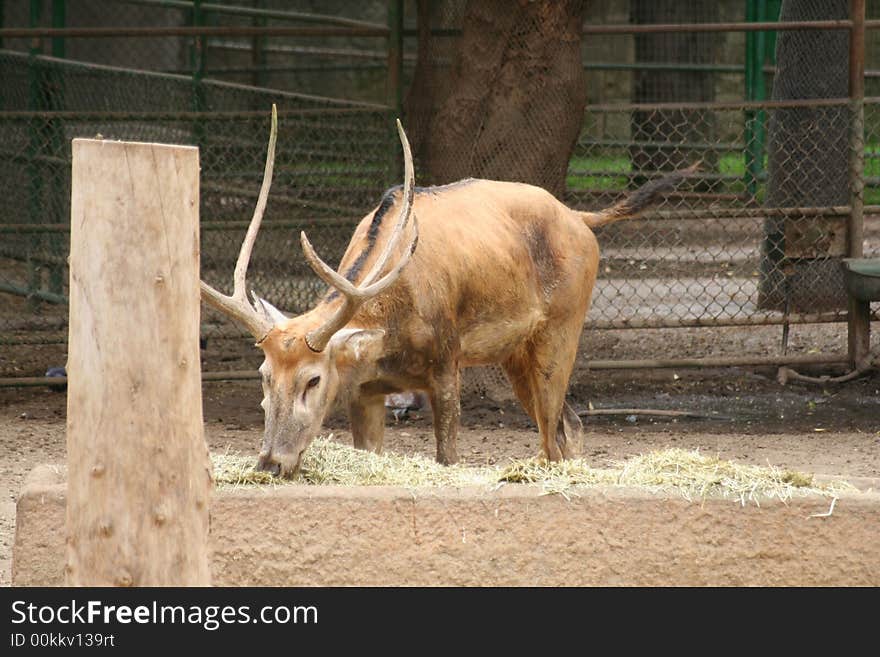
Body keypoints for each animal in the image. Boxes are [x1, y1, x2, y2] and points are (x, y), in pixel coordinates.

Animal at [201, 106, 696, 476]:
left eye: (313, 379)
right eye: (263, 375)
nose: (269, 462)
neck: (392, 323)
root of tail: (580, 218)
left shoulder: (446, 363)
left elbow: (447, 456)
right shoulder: (366, 389)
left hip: (562, 332)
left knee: (551, 436)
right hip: (516, 353)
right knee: (568, 425)